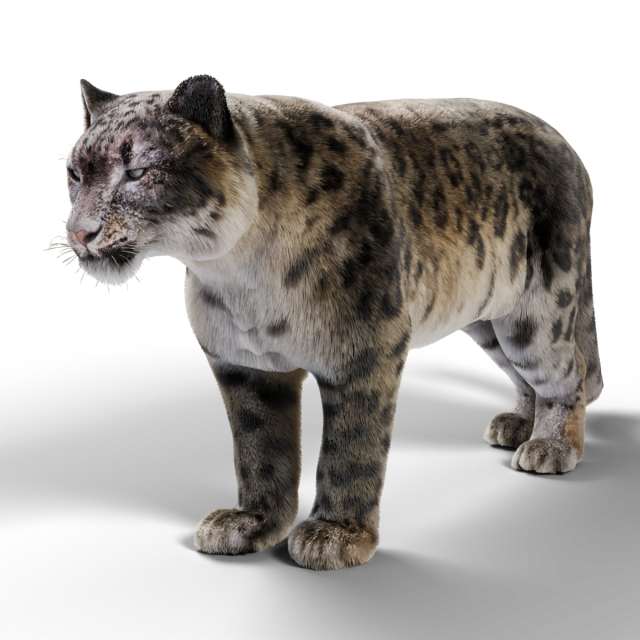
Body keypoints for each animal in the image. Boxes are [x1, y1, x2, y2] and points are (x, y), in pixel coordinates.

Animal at [48, 74, 604, 570]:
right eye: (75, 173)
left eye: (138, 171)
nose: (79, 233)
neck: (240, 272)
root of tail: (561, 139)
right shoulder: (245, 366)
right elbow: (259, 449)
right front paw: (252, 522)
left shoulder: (364, 354)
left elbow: (351, 448)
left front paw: (336, 535)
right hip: (490, 321)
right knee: (526, 375)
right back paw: (517, 423)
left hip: (538, 312)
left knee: (568, 372)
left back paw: (550, 445)